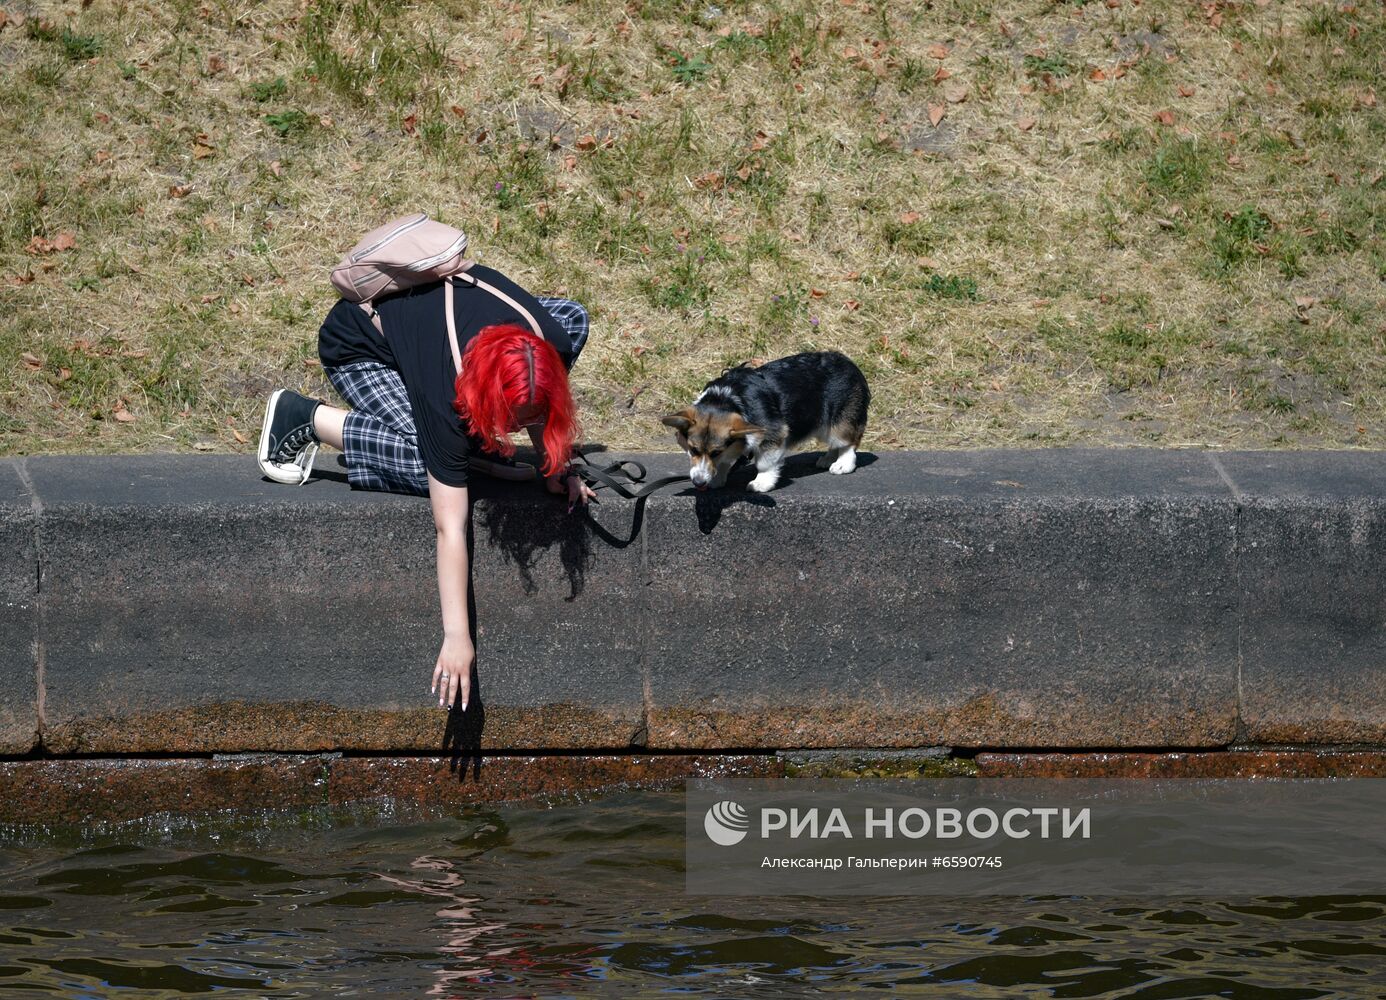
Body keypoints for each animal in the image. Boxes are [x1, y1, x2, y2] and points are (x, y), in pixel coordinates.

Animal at [659, 350, 864, 490]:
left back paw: (842, 464)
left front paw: (761, 483)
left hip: (837, 423)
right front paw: (717, 478)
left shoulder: (774, 433)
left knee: (848, 442)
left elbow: (764, 463)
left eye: (716, 452)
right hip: (821, 426)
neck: (727, 399)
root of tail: (851, 365)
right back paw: (828, 458)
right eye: (693, 450)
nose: (698, 482)